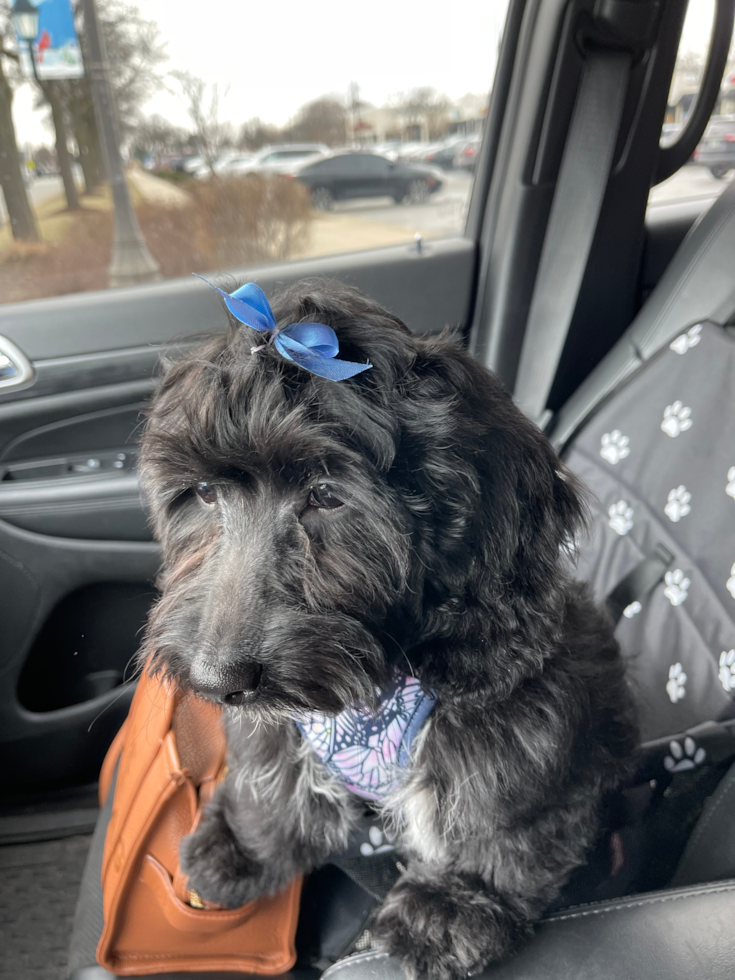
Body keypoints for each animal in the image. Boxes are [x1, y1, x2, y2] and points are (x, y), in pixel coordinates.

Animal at [139, 278, 640, 980]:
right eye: (206, 493)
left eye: (327, 495)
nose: (216, 680)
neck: (373, 689)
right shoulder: (281, 720)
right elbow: (273, 773)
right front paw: (246, 844)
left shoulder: (523, 714)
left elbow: (499, 806)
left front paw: (449, 906)